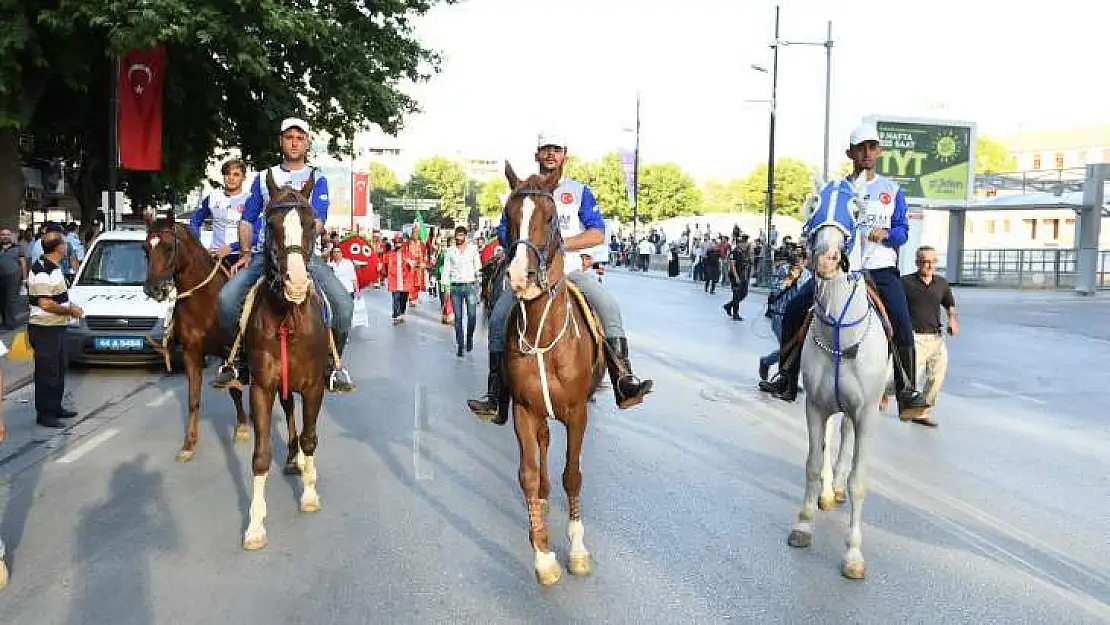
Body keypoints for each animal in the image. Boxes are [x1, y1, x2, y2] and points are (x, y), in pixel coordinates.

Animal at [145, 217, 295, 461]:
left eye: (168, 247)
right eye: (145, 248)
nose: (153, 289)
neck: (204, 302)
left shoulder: (228, 352)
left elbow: (234, 389)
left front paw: (242, 427)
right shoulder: (191, 353)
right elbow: (194, 399)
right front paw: (189, 444)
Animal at [492, 163, 603, 586]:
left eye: (552, 217)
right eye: (507, 216)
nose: (519, 277)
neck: (543, 334)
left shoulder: (577, 412)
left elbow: (572, 475)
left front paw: (577, 550)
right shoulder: (524, 410)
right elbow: (527, 473)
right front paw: (542, 554)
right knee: (540, 457)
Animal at [785, 177, 888, 581]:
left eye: (857, 210)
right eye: (813, 204)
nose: (827, 258)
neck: (840, 334)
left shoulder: (868, 413)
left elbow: (859, 481)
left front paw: (854, 555)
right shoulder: (814, 406)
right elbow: (813, 464)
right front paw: (804, 524)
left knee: (846, 439)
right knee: (833, 441)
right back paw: (829, 493)